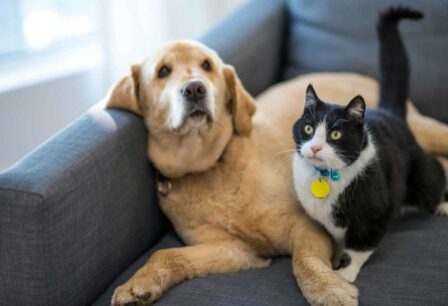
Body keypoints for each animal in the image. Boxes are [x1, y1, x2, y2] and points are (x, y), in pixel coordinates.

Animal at [106, 39, 448, 304]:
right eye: (163, 71)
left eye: (207, 66)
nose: (194, 89)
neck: (211, 165)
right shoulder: (233, 249)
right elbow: (166, 254)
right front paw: (139, 284)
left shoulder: (307, 228)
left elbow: (303, 262)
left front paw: (330, 290)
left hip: (423, 130)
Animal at [292, 7, 446, 284]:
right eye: (308, 129)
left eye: (336, 134)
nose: (315, 148)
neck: (327, 178)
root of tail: (390, 114)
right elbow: (339, 241)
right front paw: (335, 259)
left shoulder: (376, 213)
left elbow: (360, 247)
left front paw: (345, 274)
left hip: (420, 173)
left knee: (435, 176)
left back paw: (443, 205)